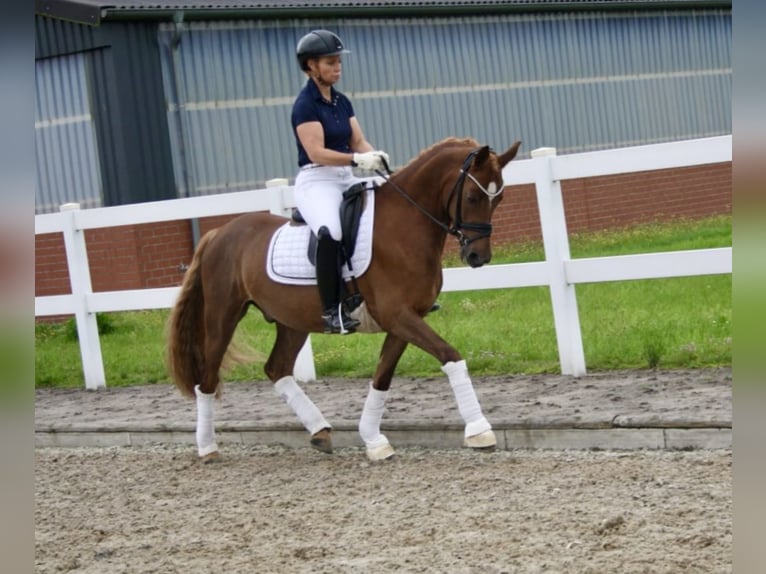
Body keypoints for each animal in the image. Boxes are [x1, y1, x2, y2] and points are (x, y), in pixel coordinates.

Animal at [167, 138, 520, 464]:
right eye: (473, 196)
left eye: (500, 198)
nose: (478, 257)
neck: (406, 224)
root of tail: (218, 233)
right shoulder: (398, 315)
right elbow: (450, 355)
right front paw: (479, 431)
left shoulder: (405, 319)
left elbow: (382, 378)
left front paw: (374, 440)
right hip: (223, 316)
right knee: (207, 379)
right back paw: (207, 448)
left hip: (292, 321)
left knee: (276, 368)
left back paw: (320, 432)